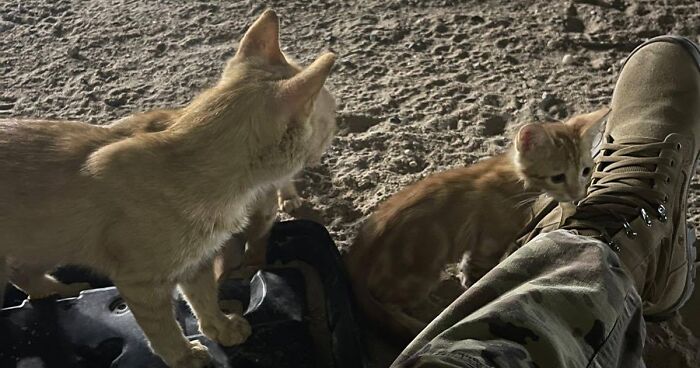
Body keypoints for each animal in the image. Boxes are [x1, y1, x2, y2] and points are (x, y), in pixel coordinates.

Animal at [0, 9, 336, 368]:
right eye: (330, 116)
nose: (337, 128)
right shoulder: (139, 283)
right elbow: (164, 329)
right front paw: (184, 355)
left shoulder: (195, 262)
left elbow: (204, 299)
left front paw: (220, 328)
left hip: (45, 244)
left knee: (23, 272)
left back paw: (58, 291)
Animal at [344, 108, 608, 340]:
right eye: (557, 177)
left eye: (585, 170)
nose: (577, 193)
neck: (515, 179)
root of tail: (358, 257)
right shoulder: (490, 241)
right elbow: (478, 274)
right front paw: (471, 291)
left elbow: (467, 264)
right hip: (418, 276)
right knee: (388, 304)